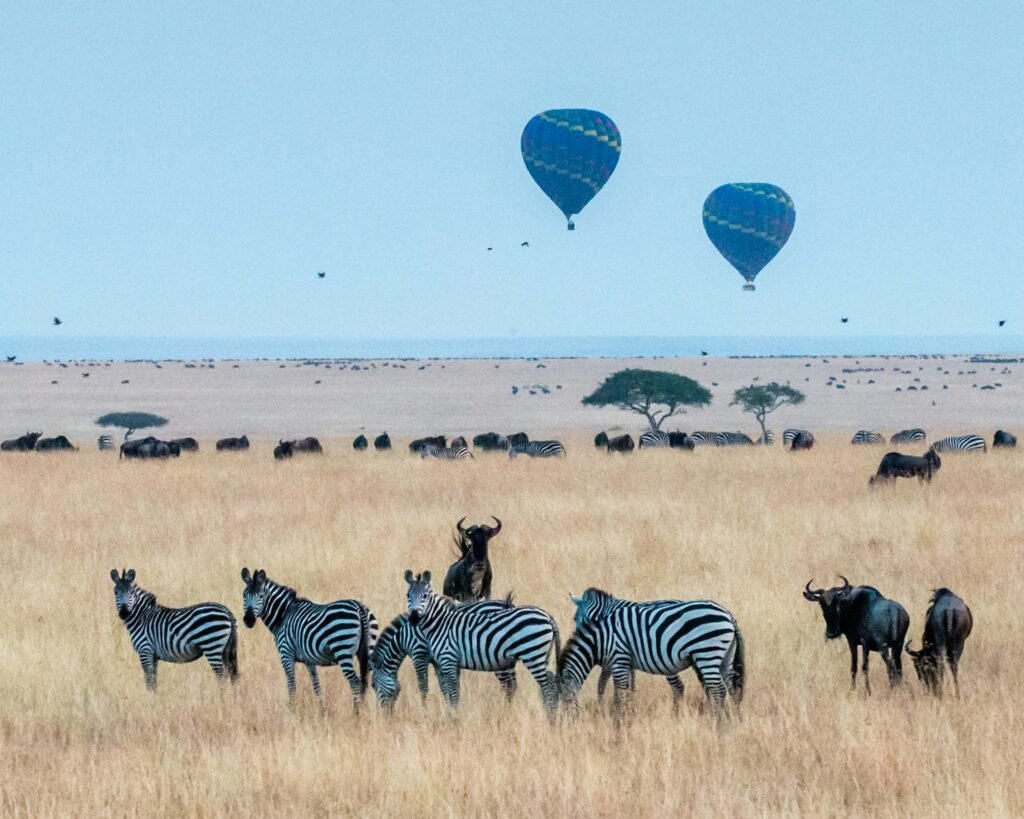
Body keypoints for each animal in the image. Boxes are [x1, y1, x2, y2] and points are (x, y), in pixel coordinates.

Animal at [109, 569, 237, 692]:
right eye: (115, 592)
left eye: (131, 592)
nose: (124, 613)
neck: (142, 617)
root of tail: (226, 611)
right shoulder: (153, 655)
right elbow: (154, 680)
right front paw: (155, 697)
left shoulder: (145, 651)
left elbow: (149, 681)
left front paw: (149, 697)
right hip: (226, 649)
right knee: (231, 674)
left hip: (211, 646)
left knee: (221, 676)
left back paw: (220, 697)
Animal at [238, 569, 376, 708]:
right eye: (244, 595)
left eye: (261, 596)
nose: (248, 620)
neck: (284, 615)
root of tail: (359, 608)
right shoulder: (309, 661)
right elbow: (316, 687)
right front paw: (321, 709)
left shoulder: (286, 654)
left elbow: (292, 685)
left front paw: (292, 709)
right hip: (368, 651)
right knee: (367, 682)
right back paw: (365, 710)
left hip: (342, 649)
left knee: (355, 683)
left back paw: (356, 711)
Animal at [370, 601, 520, 708]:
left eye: (373, 685)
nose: (384, 716)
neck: (404, 636)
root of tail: (507, 604)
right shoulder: (438, 660)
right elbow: (444, 688)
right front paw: (449, 709)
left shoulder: (419, 654)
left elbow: (423, 687)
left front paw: (424, 710)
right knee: (512, 685)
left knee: (509, 686)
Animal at [401, 569, 561, 716]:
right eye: (407, 596)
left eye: (425, 596)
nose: (413, 618)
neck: (440, 624)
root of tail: (548, 616)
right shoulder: (444, 663)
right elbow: (449, 690)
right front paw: (450, 713)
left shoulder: (443, 658)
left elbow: (448, 691)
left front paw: (452, 717)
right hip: (540, 656)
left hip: (532, 654)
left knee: (547, 686)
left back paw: (551, 716)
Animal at [561, 593, 745, 720]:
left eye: (575, 618)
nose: (566, 724)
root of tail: (728, 615)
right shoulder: (624, 661)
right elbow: (626, 687)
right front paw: (625, 711)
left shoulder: (618, 658)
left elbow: (616, 689)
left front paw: (619, 717)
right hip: (723, 658)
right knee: (731, 688)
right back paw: (734, 719)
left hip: (706, 653)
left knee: (715, 689)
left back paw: (716, 721)